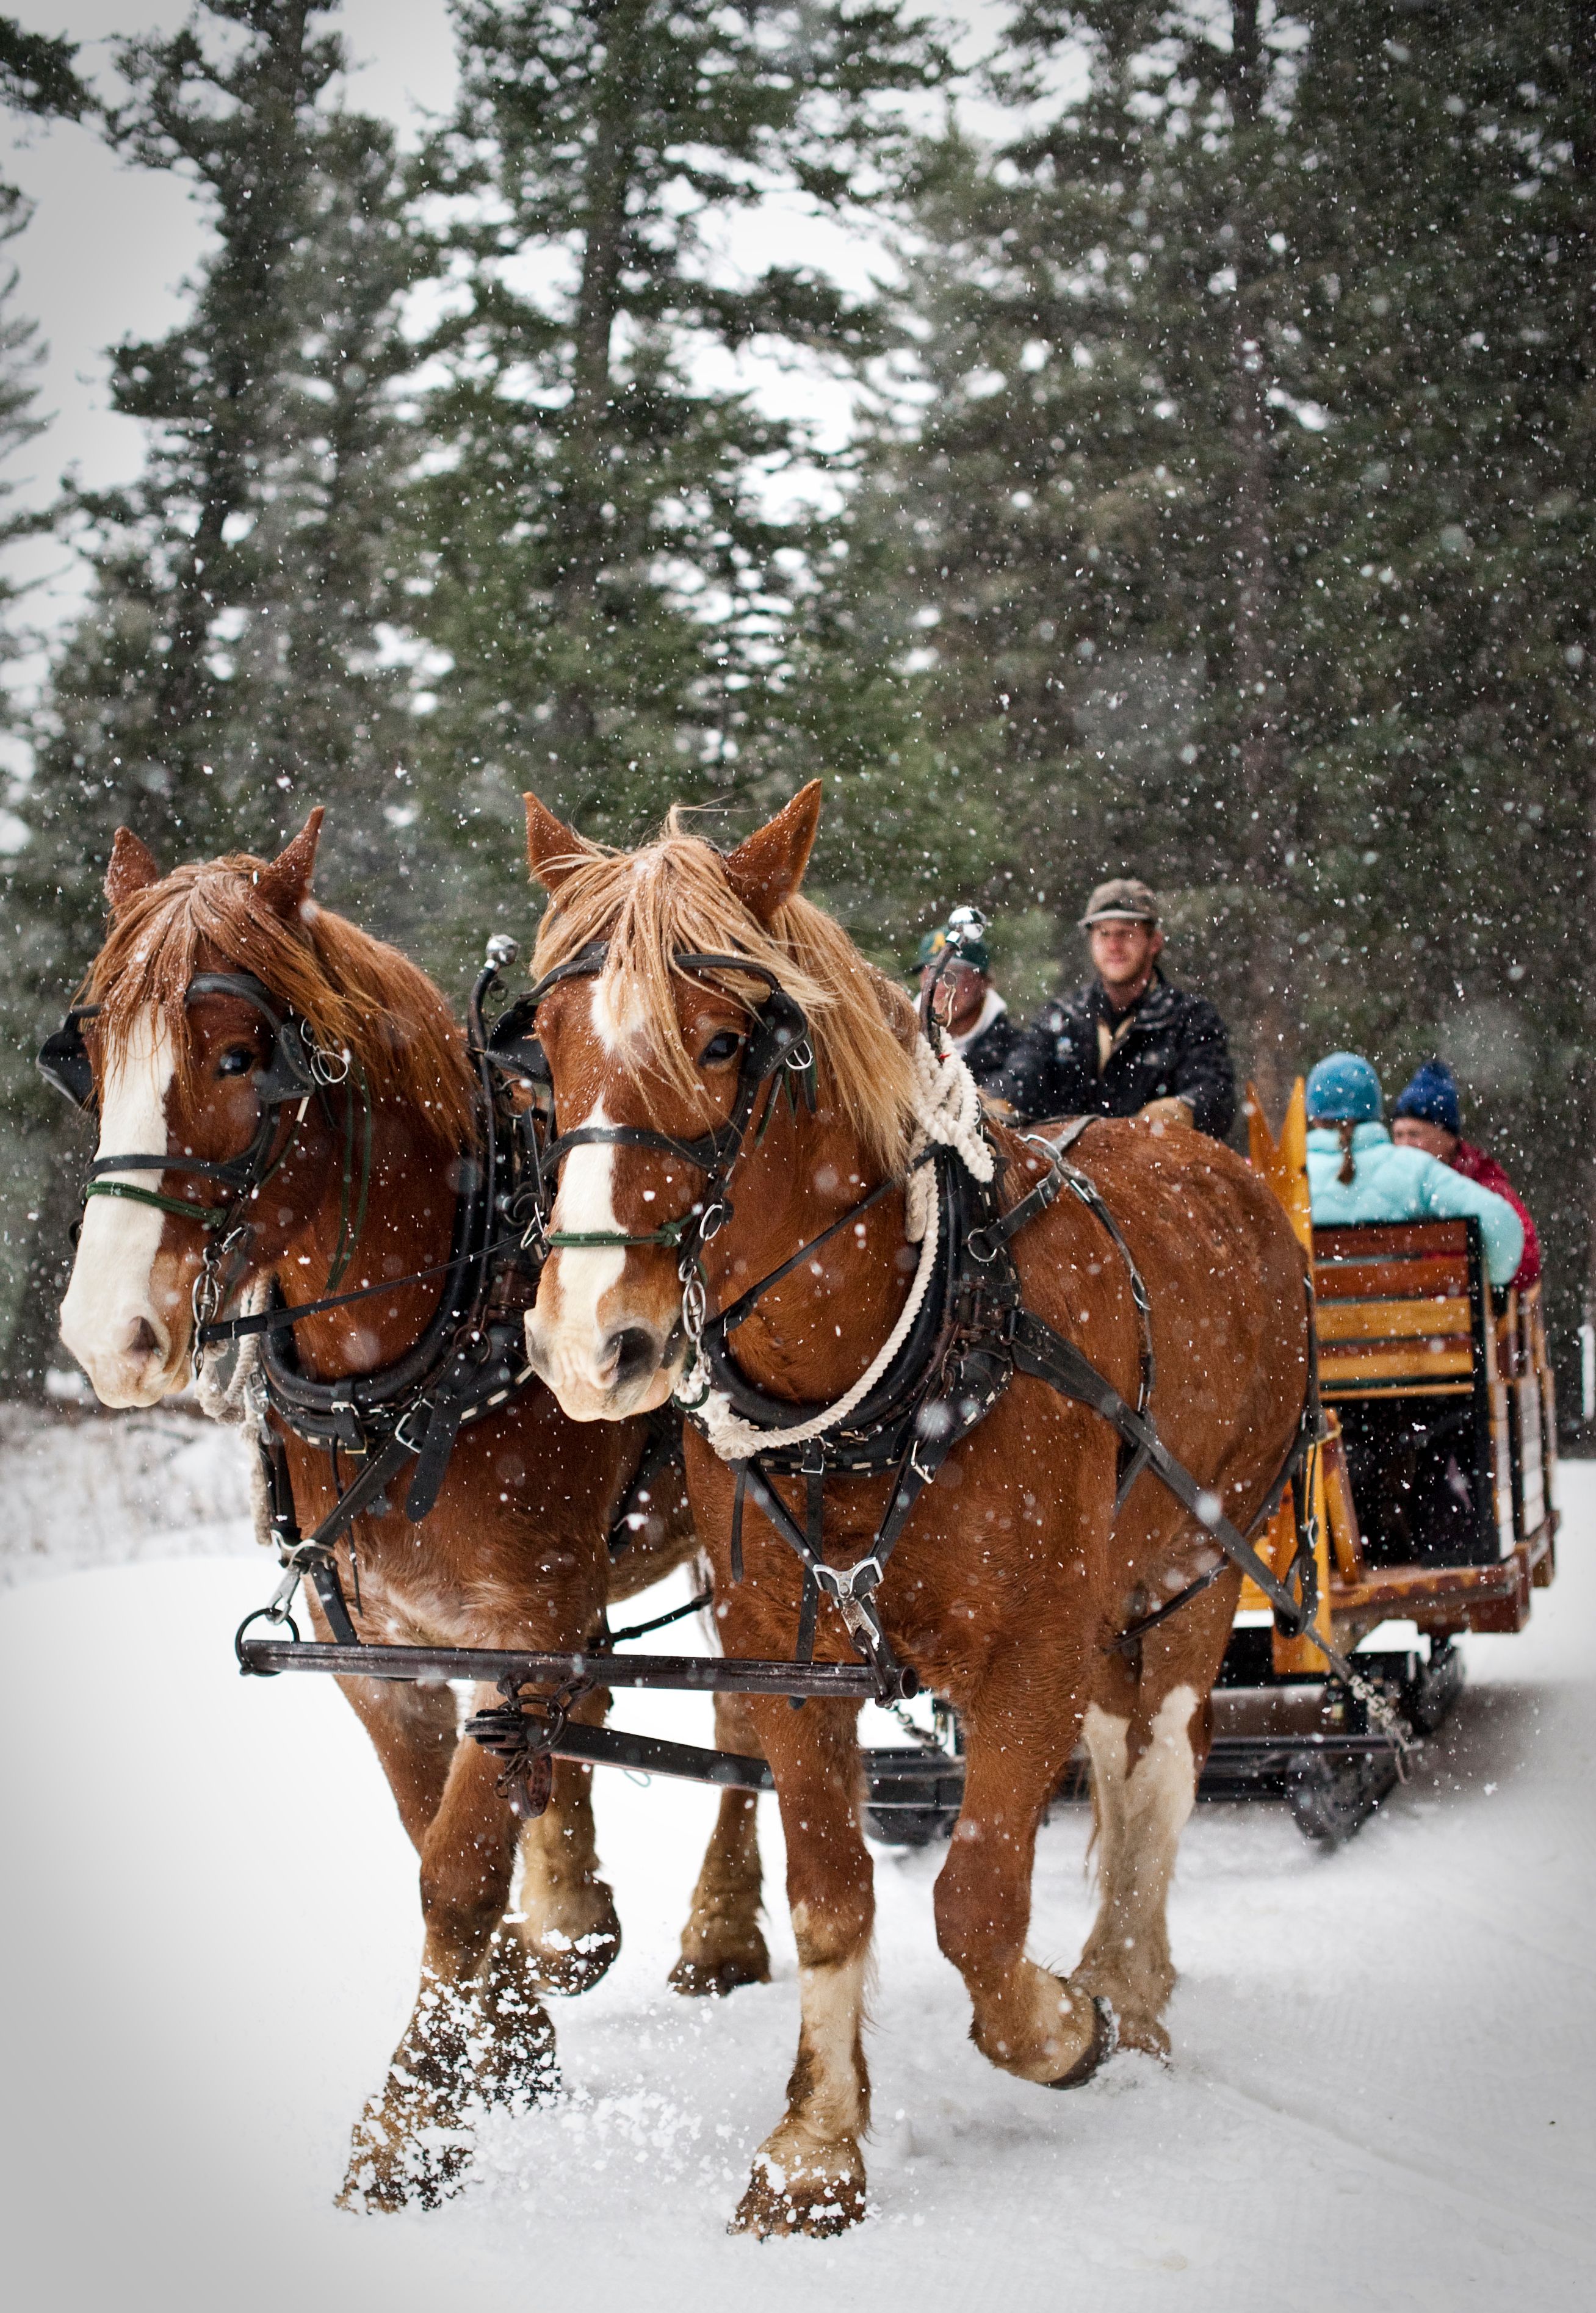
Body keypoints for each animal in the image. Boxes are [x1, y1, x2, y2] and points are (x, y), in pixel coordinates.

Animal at [53, 812, 771, 2212]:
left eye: (241, 1056)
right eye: (94, 1053)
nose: (108, 1335)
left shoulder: (517, 1618)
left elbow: (456, 1867)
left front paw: (410, 2123)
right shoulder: (378, 1649)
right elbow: (430, 1831)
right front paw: (514, 2040)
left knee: (745, 1718)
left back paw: (716, 1928)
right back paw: (576, 1913)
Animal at [514, 780, 1310, 2237]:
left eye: (724, 1040)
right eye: (544, 1046)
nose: (591, 1341)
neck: (900, 1354)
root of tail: (1199, 1151)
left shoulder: (1034, 1645)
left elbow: (977, 1899)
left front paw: (1060, 2025)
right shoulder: (791, 1652)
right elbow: (834, 1893)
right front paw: (814, 2146)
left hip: (1193, 1563)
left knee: (1161, 1764)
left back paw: (1129, 1981)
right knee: (1118, 1759)